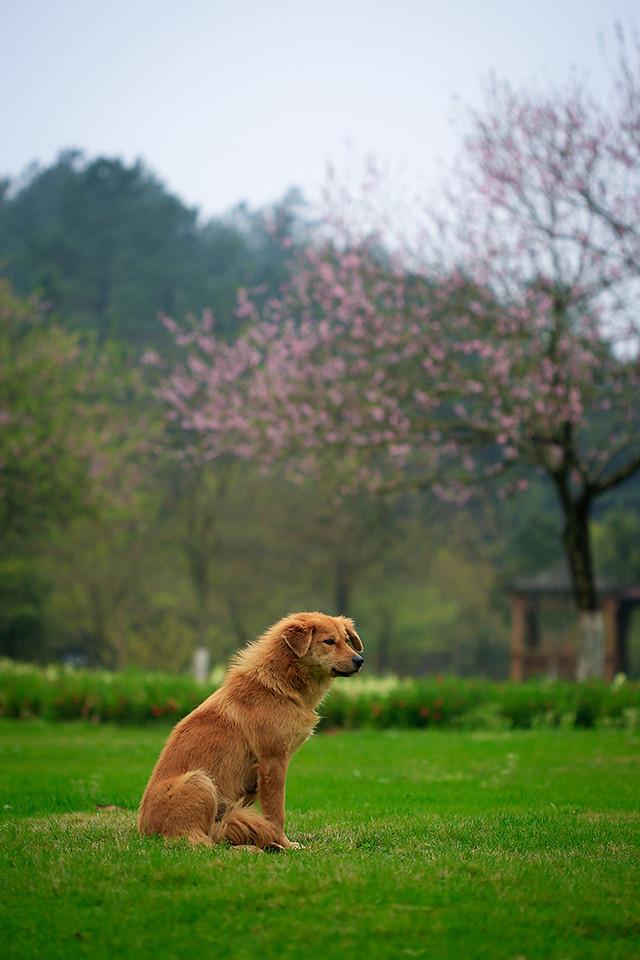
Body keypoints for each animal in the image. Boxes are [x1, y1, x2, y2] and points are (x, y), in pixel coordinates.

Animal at [137, 616, 362, 848]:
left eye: (346, 640)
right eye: (329, 641)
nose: (359, 660)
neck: (279, 686)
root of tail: (145, 832)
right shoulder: (273, 762)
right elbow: (277, 813)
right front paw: (285, 844)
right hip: (200, 782)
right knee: (203, 843)